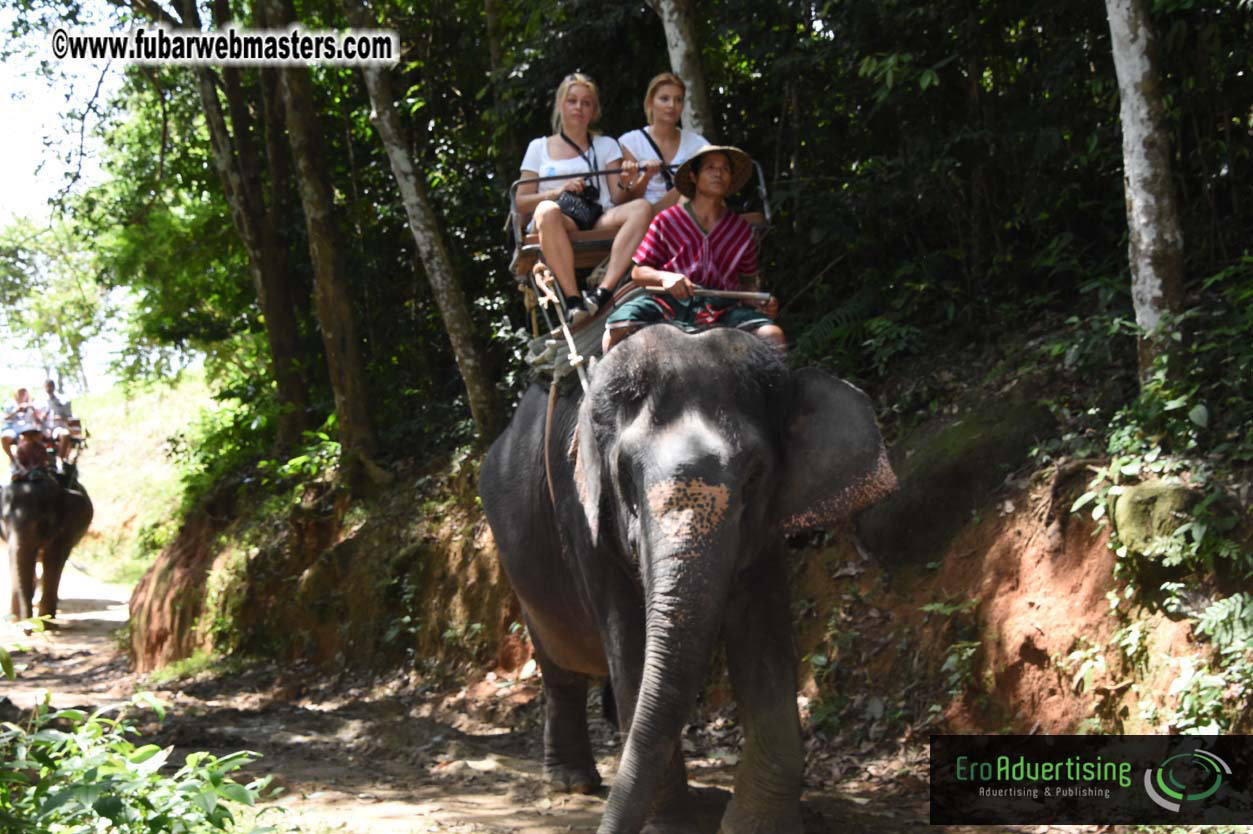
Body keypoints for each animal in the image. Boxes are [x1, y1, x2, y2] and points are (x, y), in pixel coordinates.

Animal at [2, 475, 94, 621]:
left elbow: (54, 559)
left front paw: (46, 619)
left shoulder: (65, 529)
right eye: (4, 519)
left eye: (43, 522)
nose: (25, 622)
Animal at [479, 325, 896, 834]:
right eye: (624, 473)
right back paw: (571, 782)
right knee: (560, 665)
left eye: (755, 476)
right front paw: (671, 825)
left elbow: (764, 643)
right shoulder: (584, 520)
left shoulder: (765, 536)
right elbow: (630, 645)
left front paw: (755, 826)